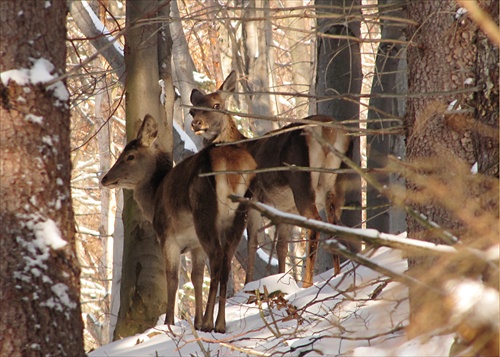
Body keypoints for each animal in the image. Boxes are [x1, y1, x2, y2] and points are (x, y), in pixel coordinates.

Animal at [102, 113, 258, 330]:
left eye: (130, 156)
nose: (105, 178)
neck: (154, 199)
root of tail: (233, 165)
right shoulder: (195, 244)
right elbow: (197, 277)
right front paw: (196, 321)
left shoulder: (167, 237)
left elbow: (172, 278)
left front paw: (170, 322)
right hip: (240, 215)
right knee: (226, 261)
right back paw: (219, 324)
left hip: (205, 212)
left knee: (217, 258)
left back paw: (209, 322)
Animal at [189, 71, 350, 288]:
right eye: (192, 111)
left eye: (216, 105)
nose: (196, 123)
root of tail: (329, 131)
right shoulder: (284, 210)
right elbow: (281, 247)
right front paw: (281, 279)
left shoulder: (251, 199)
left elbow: (252, 244)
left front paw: (248, 285)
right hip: (336, 182)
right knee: (334, 223)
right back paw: (337, 276)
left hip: (301, 179)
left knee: (316, 223)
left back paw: (308, 283)